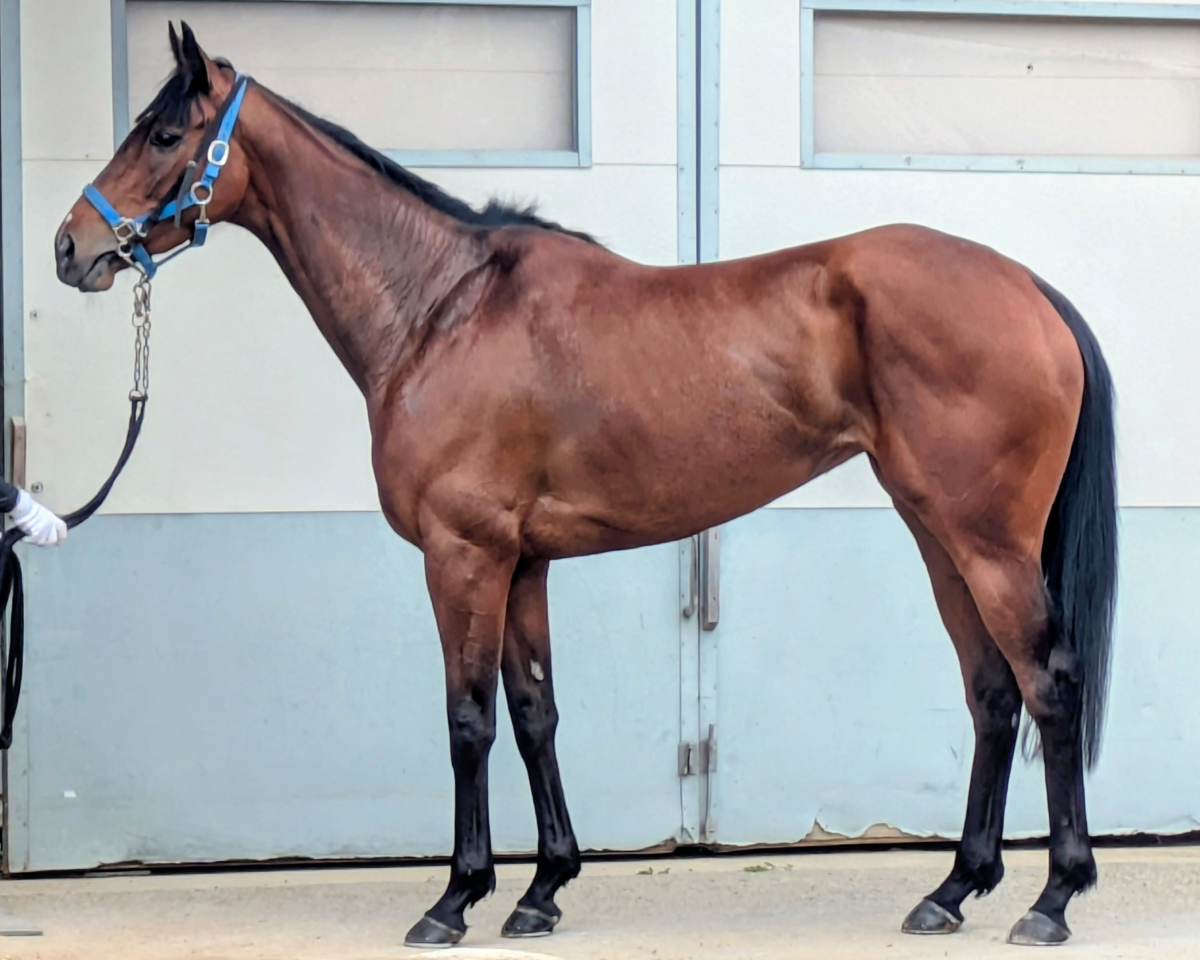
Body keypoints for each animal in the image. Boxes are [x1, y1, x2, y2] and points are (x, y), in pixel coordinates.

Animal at [54, 23, 1116, 949]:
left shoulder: (463, 557)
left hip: (986, 543)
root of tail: (1027, 287)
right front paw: (543, 890)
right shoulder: (523, 563)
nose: (72, 248)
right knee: (991, 691)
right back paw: (953, 889)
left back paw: (1052, 899)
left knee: (1049, 684)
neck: (441, 309)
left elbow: (468, 721)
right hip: (939, 536)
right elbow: (534, 714)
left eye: (162, 133)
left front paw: (456, 900)